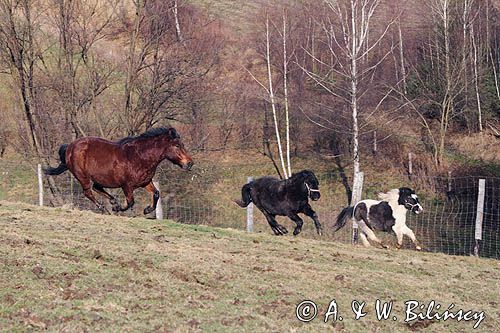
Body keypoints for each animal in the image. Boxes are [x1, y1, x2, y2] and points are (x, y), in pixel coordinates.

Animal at [45, 127, 193, 213]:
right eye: (177, 145)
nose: (190, 163)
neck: (139, 156)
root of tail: (70, 146)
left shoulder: (145, 182)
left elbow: (156, 193)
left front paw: (147, 210)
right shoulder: (127, 185)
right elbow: (131, 201)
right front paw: (119, 208)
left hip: (99, 178)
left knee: (96, 188)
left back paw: (112, 201)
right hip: (82, 176)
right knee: (88, 192)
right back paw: (103, 207)